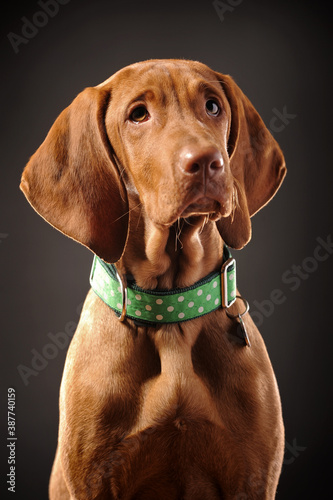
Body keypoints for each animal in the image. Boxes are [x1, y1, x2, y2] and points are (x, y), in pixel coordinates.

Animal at [20, 60, 286, 498]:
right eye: (138, 115)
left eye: (213, 106)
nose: (207, 161)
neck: (171, 313)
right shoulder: (92, 482)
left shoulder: (253, 479)